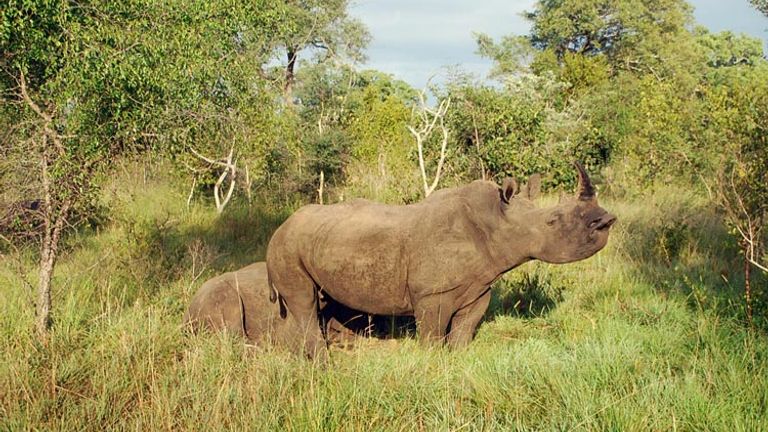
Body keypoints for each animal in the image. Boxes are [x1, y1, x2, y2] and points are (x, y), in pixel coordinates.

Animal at [266, 163, 616, 360]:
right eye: (553, 221)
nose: (606, 221)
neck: (495, 221)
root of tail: (279, 227)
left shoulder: (479, 288)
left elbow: (463, 331)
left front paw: (457, 364)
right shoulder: (431, 294)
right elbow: (433, 336)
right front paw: (432, 367)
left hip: (323, 241)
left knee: (324, 302)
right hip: (286, 247)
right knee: (305, 303)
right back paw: (322, 364)